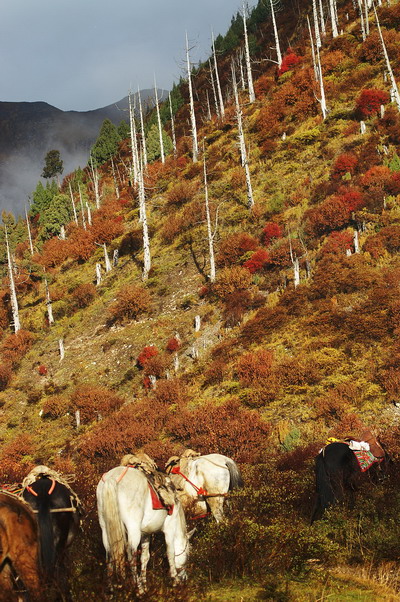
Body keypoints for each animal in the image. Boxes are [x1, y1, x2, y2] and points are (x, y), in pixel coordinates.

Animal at [96, 464, 191, 592]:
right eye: (187, 555)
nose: (185, 578)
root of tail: (113, 478)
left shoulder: (145, 534)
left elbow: (145, 558)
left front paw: (145, 584)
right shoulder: (169, 529)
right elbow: (170, 553)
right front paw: (175, 580)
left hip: (105, 528)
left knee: (109, 552)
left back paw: (111, 588)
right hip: (133, 528)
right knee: (131, 554)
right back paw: (138, 589)